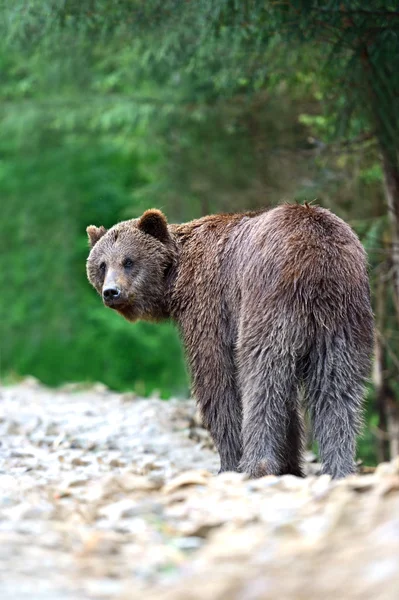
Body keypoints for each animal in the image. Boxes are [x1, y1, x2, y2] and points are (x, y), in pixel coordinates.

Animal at [86, 205, 376, 478]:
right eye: (102, 264)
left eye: (128, 261)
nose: (111, 292)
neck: (175, 280)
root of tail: (317, 256)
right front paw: (291, 466)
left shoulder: (209, 303)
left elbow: (216, 378)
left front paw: (230, 463)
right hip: (343, 316)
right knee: (338, 388)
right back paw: (339, 469)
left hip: (269, 300)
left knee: (262, 377)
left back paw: (255, 465)